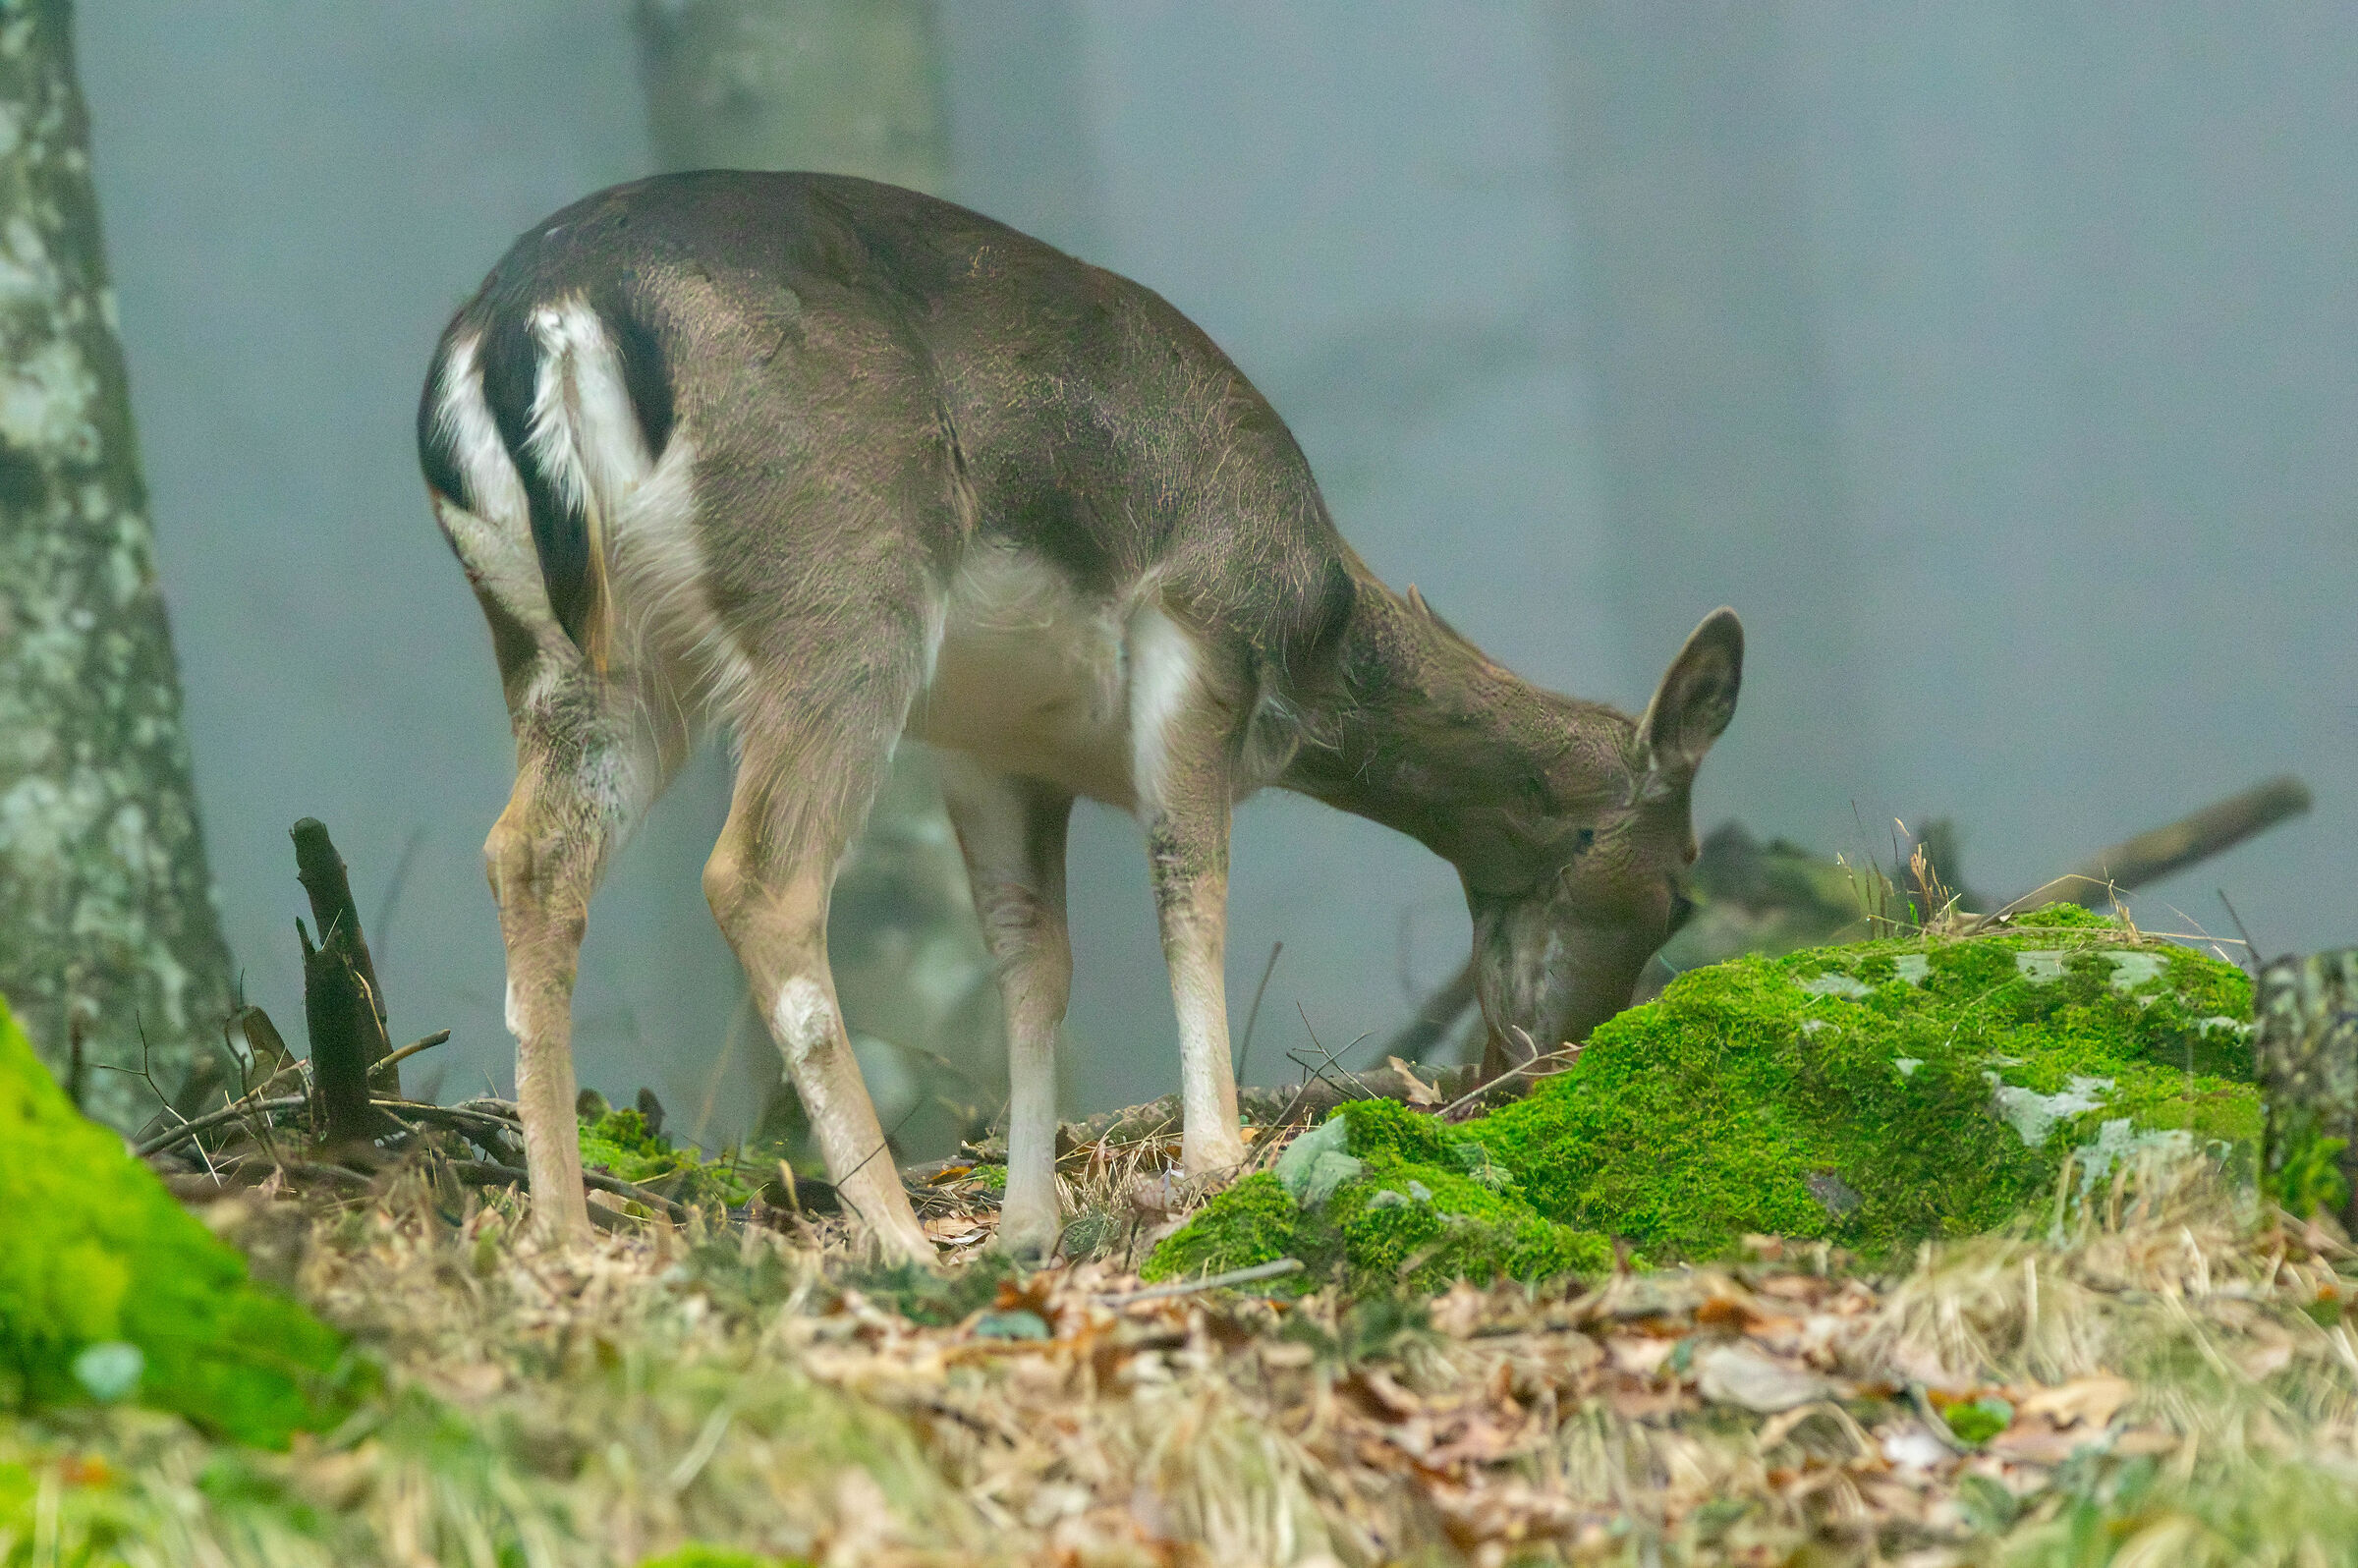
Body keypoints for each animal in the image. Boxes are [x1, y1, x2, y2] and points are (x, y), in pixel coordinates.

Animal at [417, 172, 1741, 1263]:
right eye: (1681, 883)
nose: (1542, 1064)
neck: (1318, 626)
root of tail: (529, 329)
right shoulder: (1200, 624)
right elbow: (1187, 882)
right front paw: (1213, 1162)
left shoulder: (989, 745)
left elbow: (1032, 958)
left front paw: (1027, 1223)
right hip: (841, 599)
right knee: (758, 876)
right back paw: (895, 1237)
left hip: (570, 658)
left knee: (525, 856)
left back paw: (562, 1227)